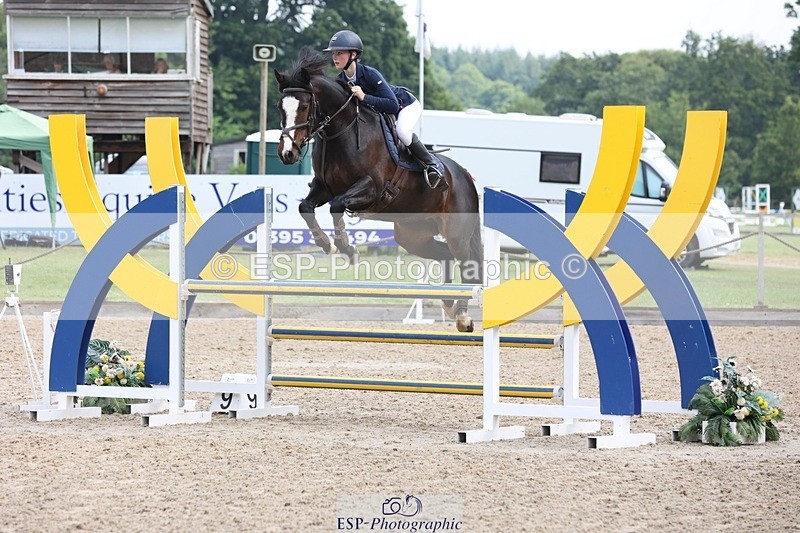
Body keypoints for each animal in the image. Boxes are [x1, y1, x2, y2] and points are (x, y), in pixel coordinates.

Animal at [274, 47, 482, 332]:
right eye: (280, 107)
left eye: (304, 106)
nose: (287, 153)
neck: (341, 130)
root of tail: (466, 177)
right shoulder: (324, 187)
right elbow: (305, 206)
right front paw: (326, 244)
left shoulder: (371, 188)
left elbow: (337, 206)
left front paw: (347, 249)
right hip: (413, 234)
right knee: (445, 255)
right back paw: (449, 303)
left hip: (457, 232)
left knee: (466, 262)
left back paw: (462, 315)